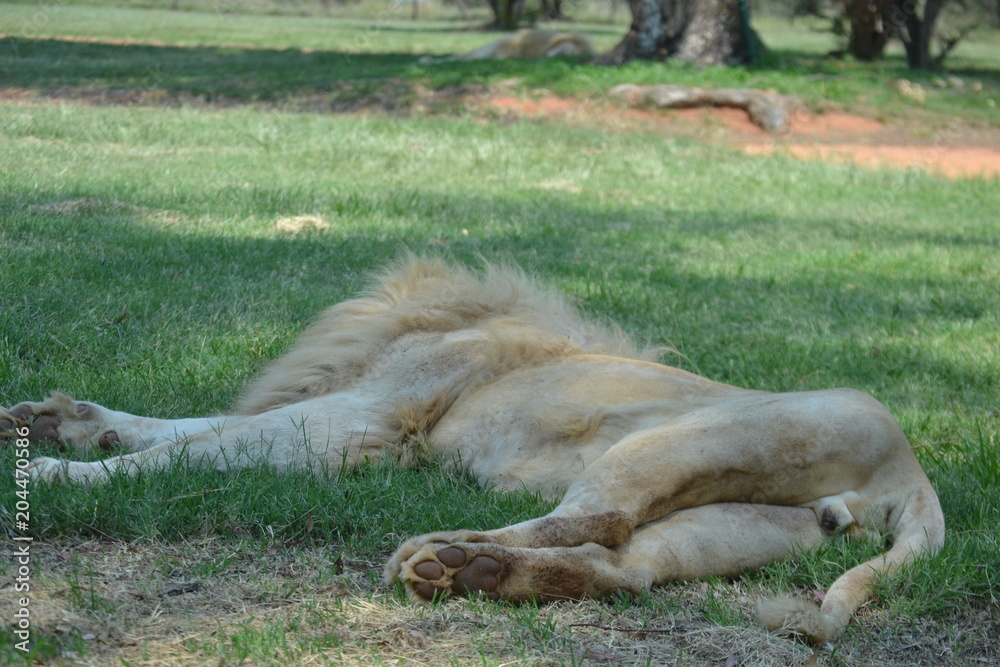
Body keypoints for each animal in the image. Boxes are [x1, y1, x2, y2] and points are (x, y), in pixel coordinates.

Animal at [2, 256, 944, 646]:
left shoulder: (357, 417)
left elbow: (192, 447)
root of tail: (915, 481)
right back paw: (470, 573)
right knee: (624, 566)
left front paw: (57, 467)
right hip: (738, 521)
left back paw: (435, 552)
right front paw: (56, 421)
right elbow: (184, 425)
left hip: (679, 440)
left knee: (596, 515)